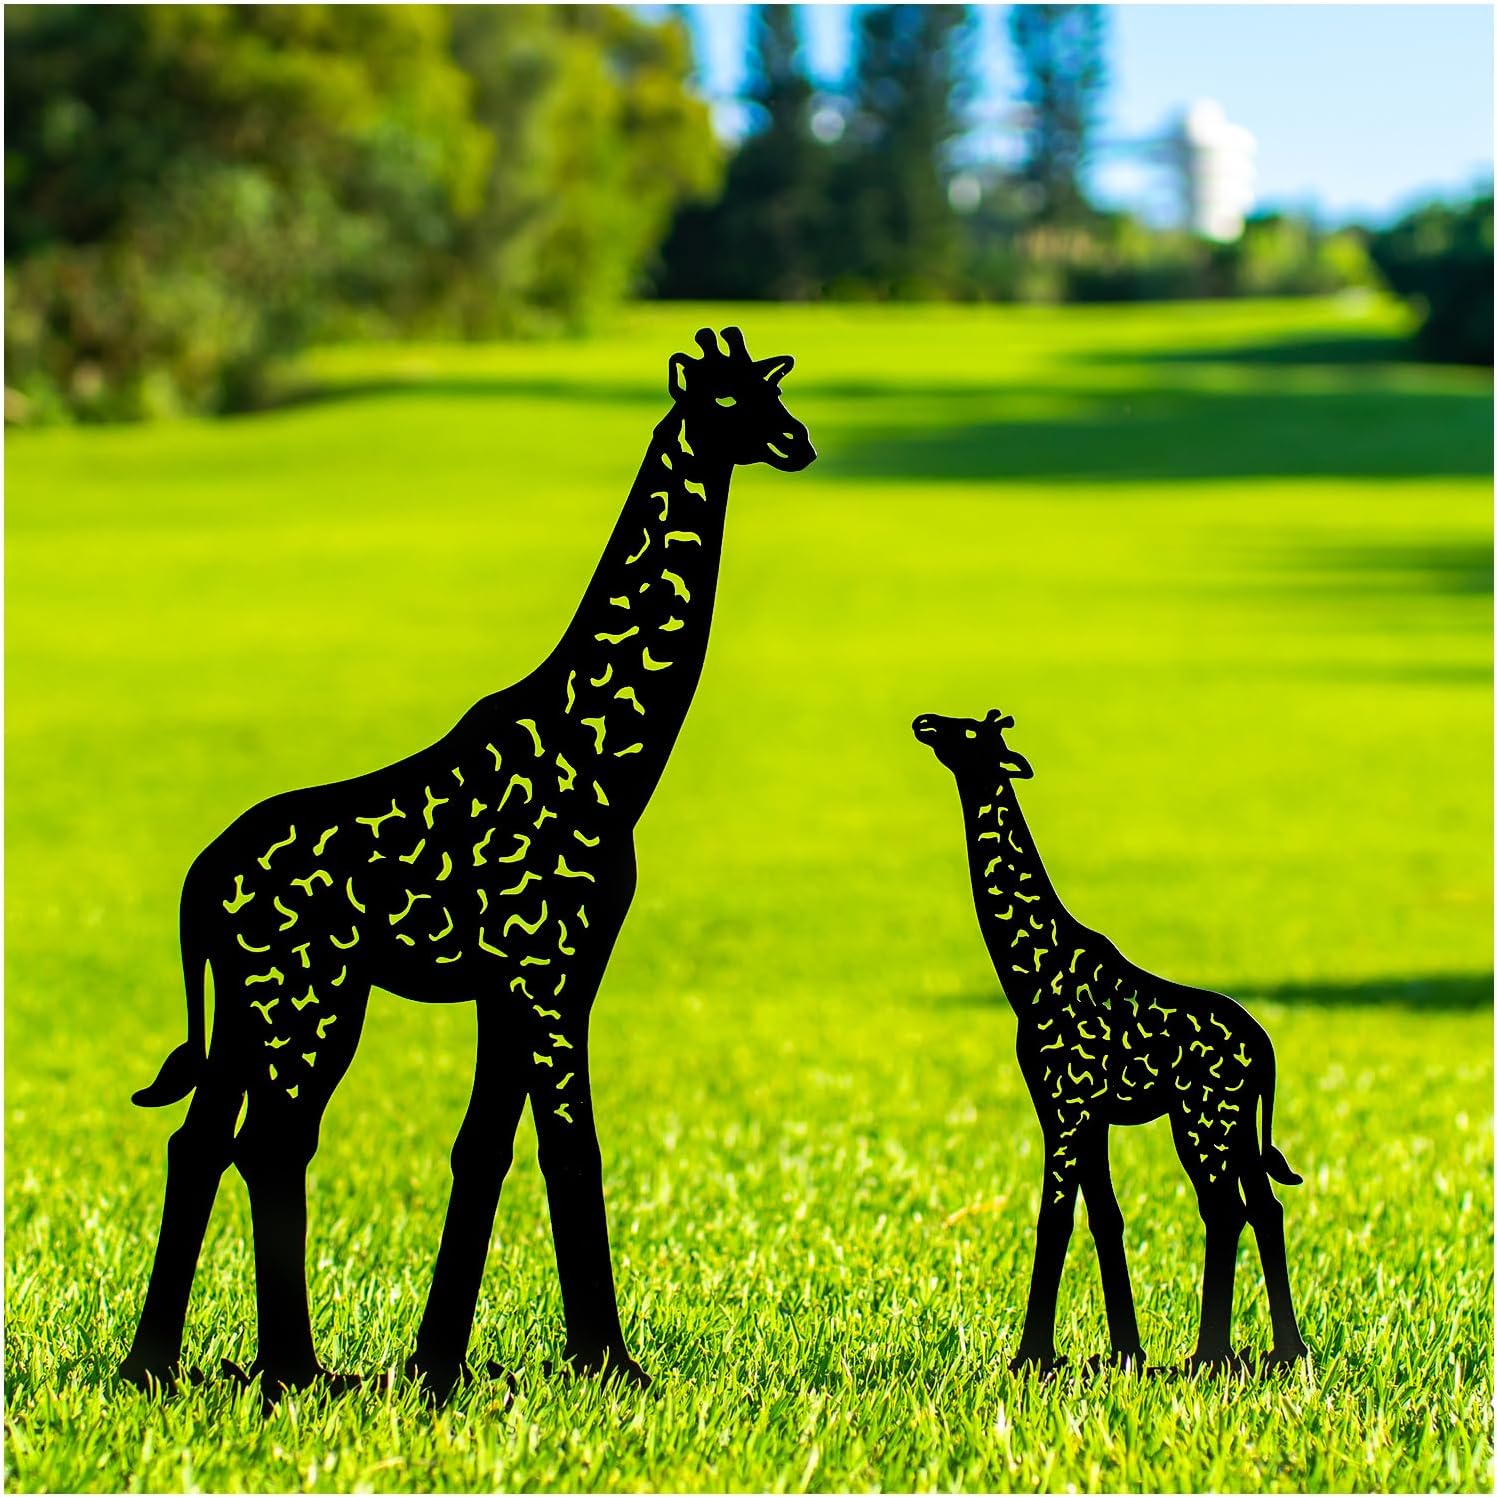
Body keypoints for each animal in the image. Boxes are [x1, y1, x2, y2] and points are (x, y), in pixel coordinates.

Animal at [118, 326, 815, 1405]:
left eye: (770, 394)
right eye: (729, 403)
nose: (800, 440)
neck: (611, 758)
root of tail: (198, 881)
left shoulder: (517, 980)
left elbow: (482, 1146)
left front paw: (438, 1361)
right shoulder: (551, 971)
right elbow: (572, 1145)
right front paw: (610, 1364)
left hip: (246, 1005)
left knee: (200, 1139)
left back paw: (154, 1363)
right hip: (309, 995)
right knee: (269, 1142)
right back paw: (294, 1372)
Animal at [913, 709, 1308, 1376]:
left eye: (969, 732)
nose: (923, 722)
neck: (1028, 976)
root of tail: (1264, 1050)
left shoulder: (1064, 1107)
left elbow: (1053, 1218)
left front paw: (1031, 1359)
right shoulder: (1086, 1113)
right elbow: (1106, 1217)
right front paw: (1126, 1352)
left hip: (1202, 1118)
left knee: (1225, 1209)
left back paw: (1209, 1356)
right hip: (1236, 1125)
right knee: (1265, 1206)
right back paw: (1286, 1350)